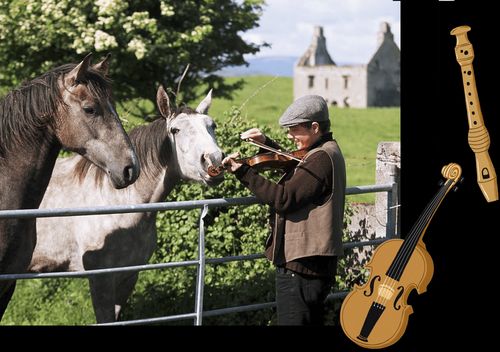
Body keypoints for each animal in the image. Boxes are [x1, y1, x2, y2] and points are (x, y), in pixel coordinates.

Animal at [27, 86, 223, 324]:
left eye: (211, 125)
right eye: (175, 130)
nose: (214, 160)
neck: (119, 203)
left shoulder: (129, 276)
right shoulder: (101, 280)